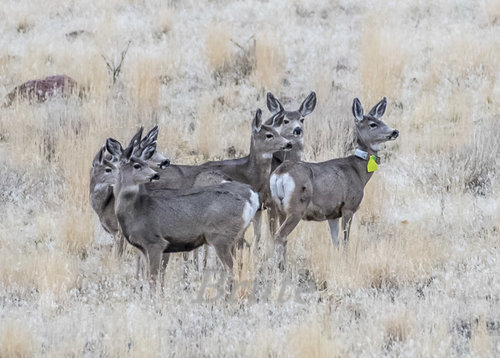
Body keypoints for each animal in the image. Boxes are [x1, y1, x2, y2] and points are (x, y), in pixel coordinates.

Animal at [107, 138, 260, 286]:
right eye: (137, 165)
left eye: (144, 162)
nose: (156, 175)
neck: (136, 210)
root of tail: (252, 196)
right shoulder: (145, 249)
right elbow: (149, 276)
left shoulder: (156, 242)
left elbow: (153, 278)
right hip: (234, 237)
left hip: (221, 237)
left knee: (231, 270)